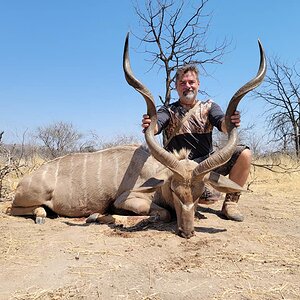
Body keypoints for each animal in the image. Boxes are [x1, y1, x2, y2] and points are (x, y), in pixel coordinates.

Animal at [9, 33, 266, 239]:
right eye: (174, 190)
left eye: (198, 192)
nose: (187, 232)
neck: (156, 174)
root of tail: (26, 179)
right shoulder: (126, 198)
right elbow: (158, 213)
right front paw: (99, 216)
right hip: (28, 198)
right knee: (15, 209)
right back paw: (41, 214)